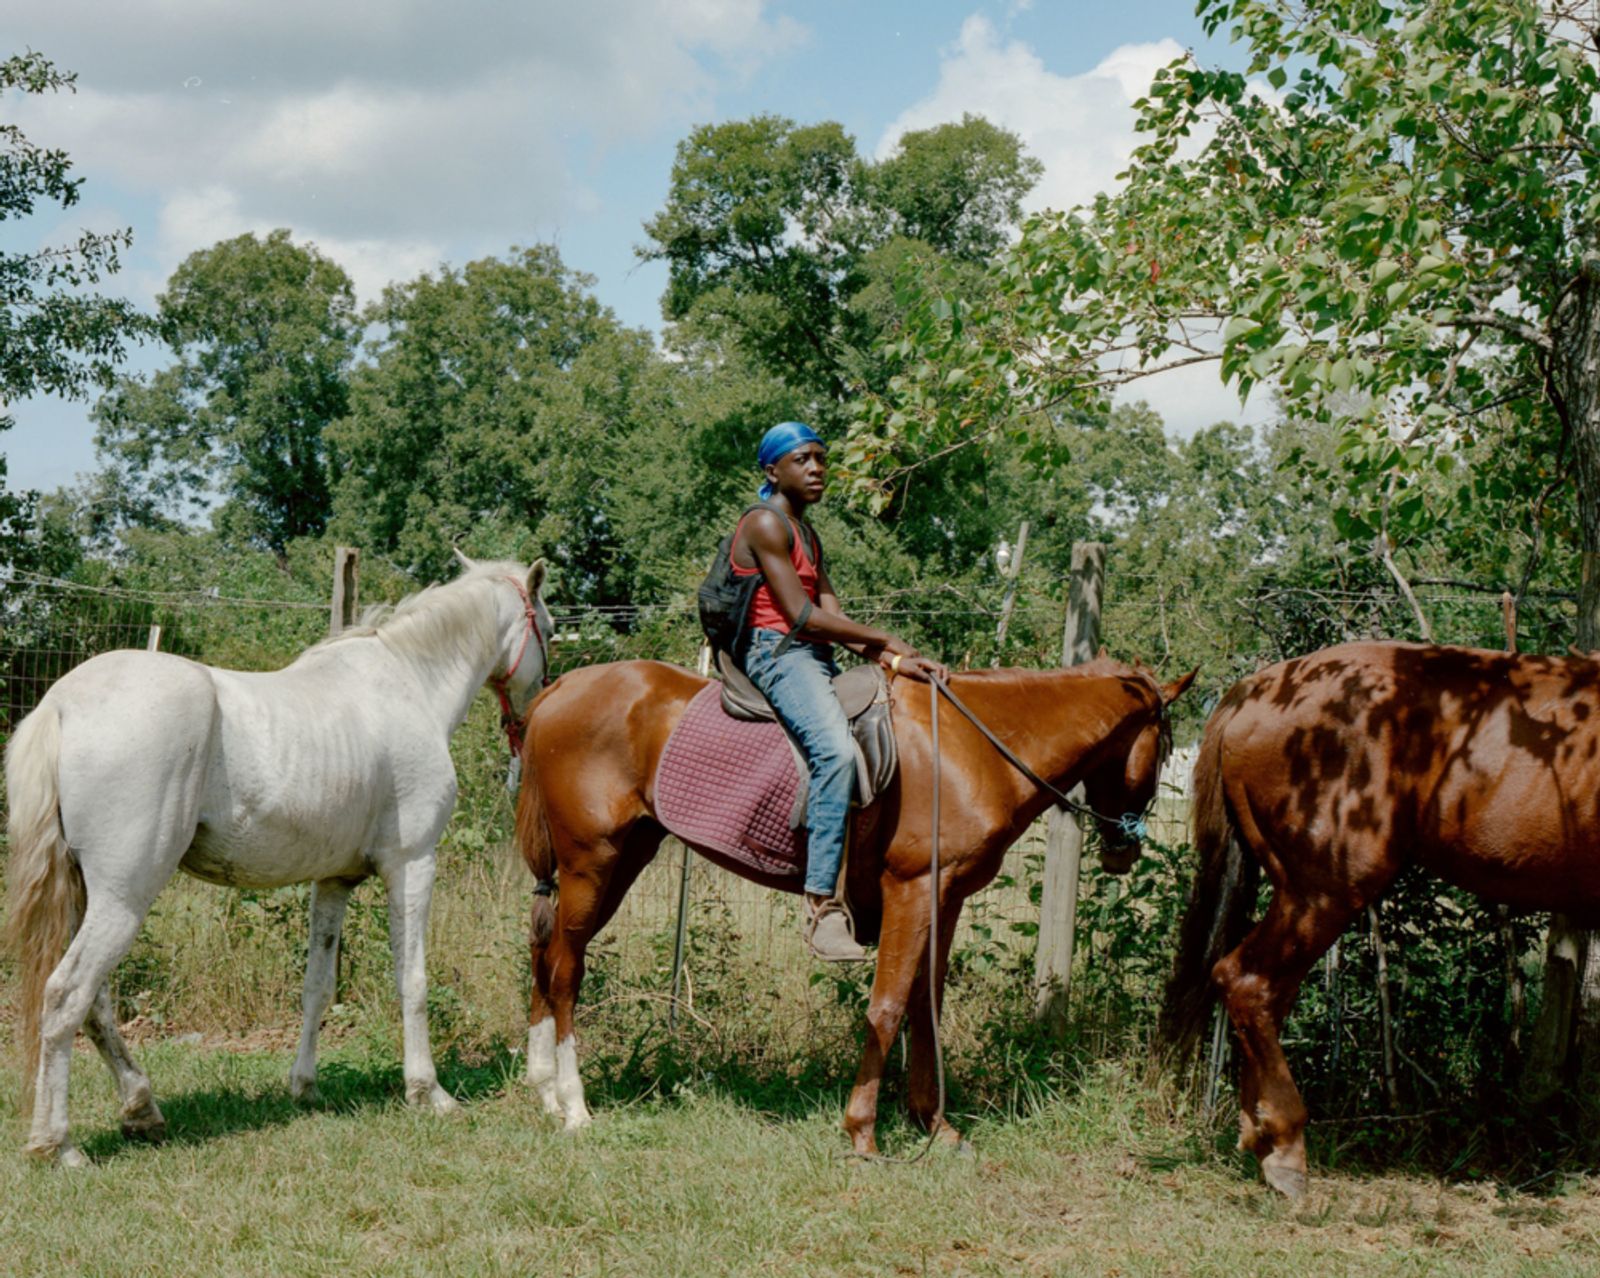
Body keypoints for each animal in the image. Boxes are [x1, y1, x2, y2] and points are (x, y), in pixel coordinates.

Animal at [3, 553, 550, 1164]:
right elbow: (412, 981)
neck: (409, 683)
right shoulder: (412, 865)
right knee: (65, 996)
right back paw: (58, 1144)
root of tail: (60, 705)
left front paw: (304, 1087)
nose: (533, 713)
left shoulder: (333, 882)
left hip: (88, 896)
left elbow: (317, 985)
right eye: (549, 631)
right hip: (123, 900)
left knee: (94, 1004)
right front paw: (428, 1092)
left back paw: (141, 1108)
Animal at [512, 658, 1190, 1151]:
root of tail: (560, 688)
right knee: (567, 970)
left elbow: (925, 1006)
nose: (1126, 848)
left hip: (622, 861)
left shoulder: (946, 900)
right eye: (1162, 747)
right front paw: (862, 1130)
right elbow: (887, 1007)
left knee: (547, 956)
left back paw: (543, 1090)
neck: (973, 745)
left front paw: (933, 1125)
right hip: (591, 864)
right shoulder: (912, 890)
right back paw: (574, 1105)